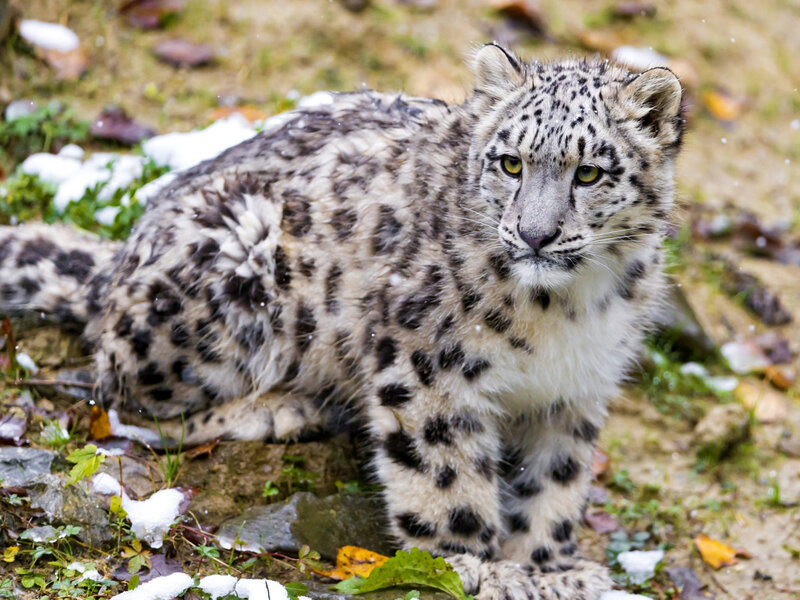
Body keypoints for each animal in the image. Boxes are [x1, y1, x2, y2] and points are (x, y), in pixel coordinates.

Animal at [0, 43, 684, 599]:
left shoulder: (576, 390)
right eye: (511, 163)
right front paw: (473, 564)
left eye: (589, 172)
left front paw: (550, 568)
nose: (536, 234)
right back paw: (281, 410)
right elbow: (446, 473)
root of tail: (118, 263)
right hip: (228, 279)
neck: (567, 309)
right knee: (126, 397)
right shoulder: (428, 365)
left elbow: (556, 482)